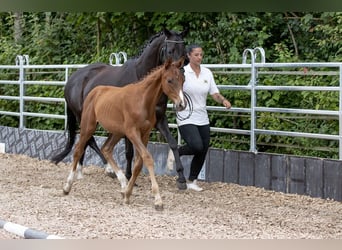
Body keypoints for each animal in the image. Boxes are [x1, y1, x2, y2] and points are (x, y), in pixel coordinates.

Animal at [52, 27, 188, 188]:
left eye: (184, 51)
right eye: (170, 51)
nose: (181, 75)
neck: (141, 78)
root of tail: (72, 79)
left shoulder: (160, 119)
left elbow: (172, 144)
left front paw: (181, 179)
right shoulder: (129, 123)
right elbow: (129, 151)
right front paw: (129, 176)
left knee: (85, 140)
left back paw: (79, 171)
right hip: (83, 117)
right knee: (89, 139)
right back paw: (108, 169)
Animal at [62, 57, 186, 210]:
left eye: (183, 79)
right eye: (169, 80)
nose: (181, 104)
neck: (142, 100)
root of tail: (94, 91)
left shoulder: (145, 134)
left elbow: (138, 163)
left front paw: (127, 194)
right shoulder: (132, 132)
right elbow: (147, 158)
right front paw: (158, 200)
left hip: (116, 132)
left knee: (106, 149)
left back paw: (122, 184)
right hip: (88, 126)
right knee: (79, 149)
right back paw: (67, 186)